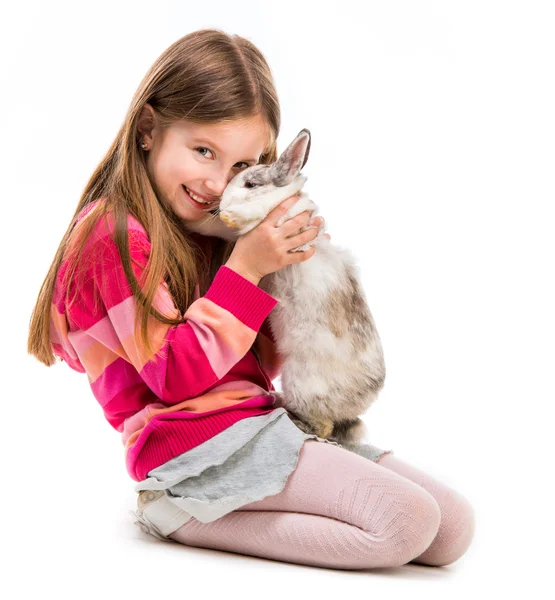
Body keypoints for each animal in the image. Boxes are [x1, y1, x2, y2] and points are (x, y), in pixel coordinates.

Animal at [184, 127, 386, 446]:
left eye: (251, 183)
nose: (223, 204)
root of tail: (356, 406)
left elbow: (228, 225)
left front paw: (215, 218)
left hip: (302, 385)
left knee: (323, 427)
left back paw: (294, 419)